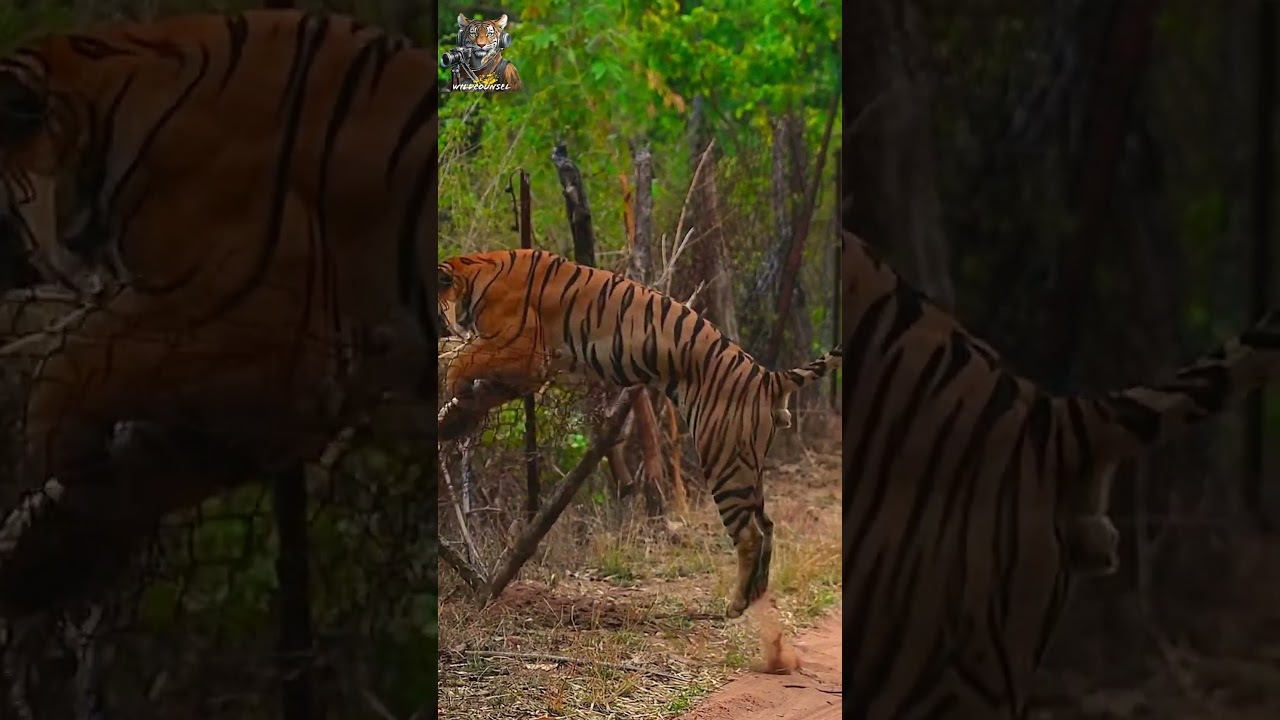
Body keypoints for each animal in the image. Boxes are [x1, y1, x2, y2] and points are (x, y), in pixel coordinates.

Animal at [436, 248, 843, 618]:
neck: (472, 273)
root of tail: (767, 377)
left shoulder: (525, 350)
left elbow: (460, 354)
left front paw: (453, 386)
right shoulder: (530, 369)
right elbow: (463, 357)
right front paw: (455, 406)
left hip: (724, 458)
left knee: (750, 534)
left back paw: (737, 603)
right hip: (747, 463)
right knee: (767, 524)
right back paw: (757, 592)